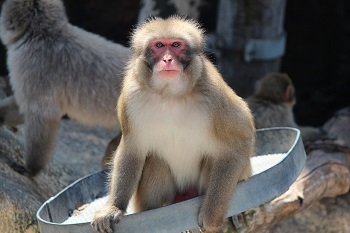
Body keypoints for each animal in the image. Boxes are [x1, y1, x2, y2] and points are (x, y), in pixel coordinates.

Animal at [90, 16, 254, 233]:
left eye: (176, 45)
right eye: (159, 46)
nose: (167, 59)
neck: (169, 94)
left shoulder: (214, 94)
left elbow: (239, 140)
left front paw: (211, 215)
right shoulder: (131, 96)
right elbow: (132, 150)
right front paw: (113, 208)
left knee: (216, 156)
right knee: (155, 161)